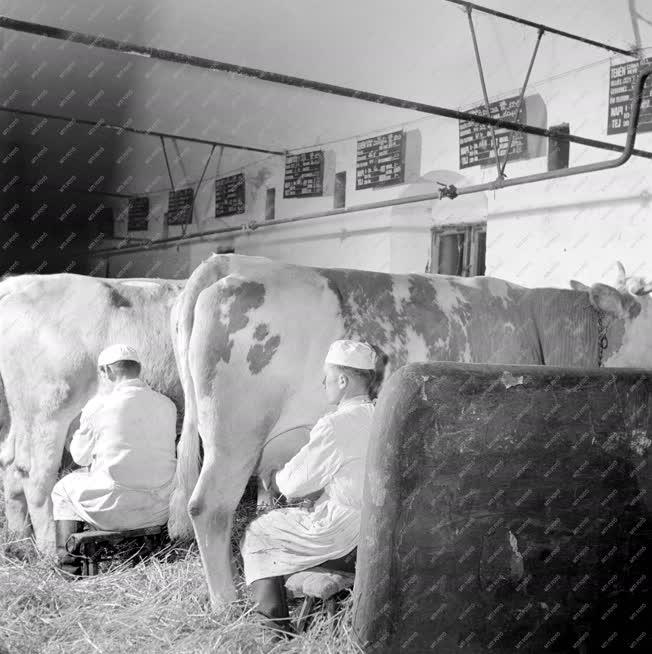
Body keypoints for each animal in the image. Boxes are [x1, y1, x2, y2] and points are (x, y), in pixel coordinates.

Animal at [0, 274, 185, 556]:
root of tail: (22, 282)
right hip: (47, 412)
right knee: (35, 477)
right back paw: (50, 550)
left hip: (18, 418)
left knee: (10, 467)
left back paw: (19, 542)